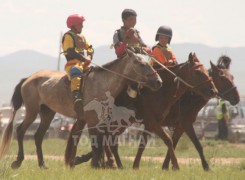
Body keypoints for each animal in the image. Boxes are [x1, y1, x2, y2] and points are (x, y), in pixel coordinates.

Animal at [0, 48, 163, 169]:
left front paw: (91, 163)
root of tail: (28, 79)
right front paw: (94, 165)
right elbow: (96, 145)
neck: (102, 84)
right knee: (20, 131)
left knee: (38, 136)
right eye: (140, 63)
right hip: (32, 111)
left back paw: (42, 164)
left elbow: (99, 143)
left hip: (47, 113)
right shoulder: (91, 121)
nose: (158, 81)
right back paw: (18, 161)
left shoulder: (100, 122)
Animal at [64, 51, 216, 169]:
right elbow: (169, 141)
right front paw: (177, 166)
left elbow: (143, 145)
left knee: (108, 141)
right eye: (198, 71)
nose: (213, 91)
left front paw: (136, 165)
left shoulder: (153, 124)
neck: (161, 91)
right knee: (106, 140)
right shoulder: (159, 123)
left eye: (206, 71)